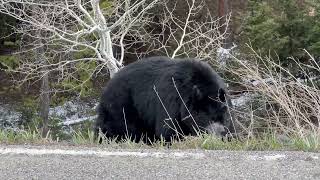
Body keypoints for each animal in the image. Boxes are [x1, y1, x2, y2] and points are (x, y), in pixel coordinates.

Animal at [95, 56, 235, 142]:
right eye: (206, 116)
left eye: (224, 116)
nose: (220, 133)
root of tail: (107, 86)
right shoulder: (171, 100)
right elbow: (168, 129)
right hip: (122, 105)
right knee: (119, 126)